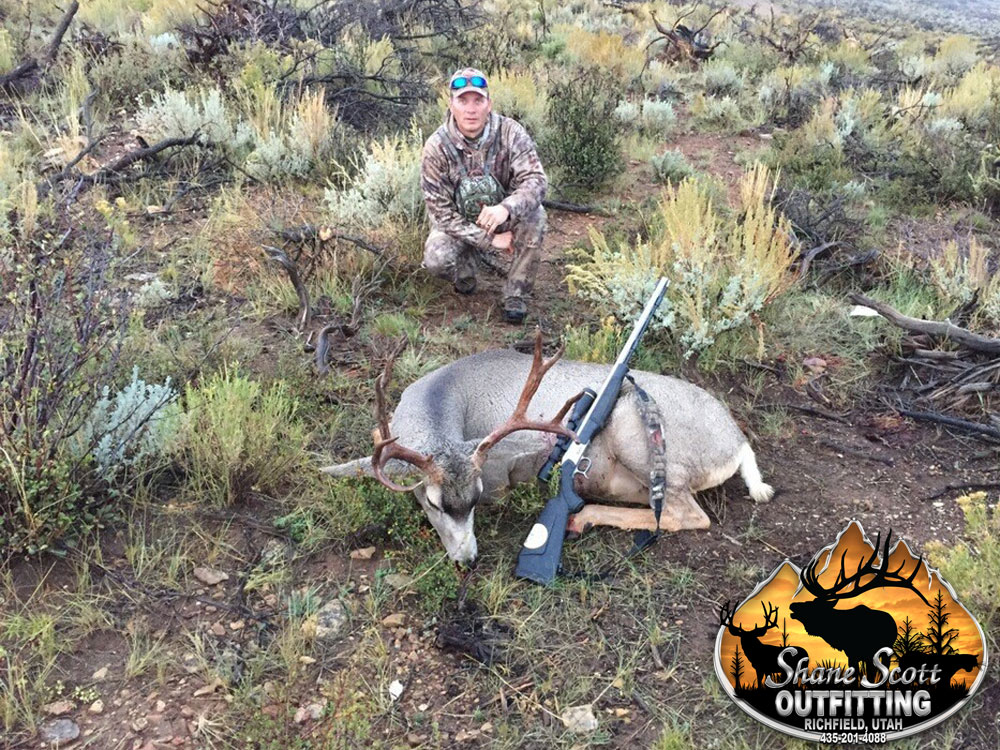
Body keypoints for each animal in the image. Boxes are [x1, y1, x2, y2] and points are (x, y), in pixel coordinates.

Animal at [321, 332, 773, 564]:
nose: (468, 559)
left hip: (639, 435)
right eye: (432, 502)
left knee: (687, 515)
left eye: (477, 497)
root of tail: (737, 442)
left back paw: (584, 516)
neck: (440, 394)